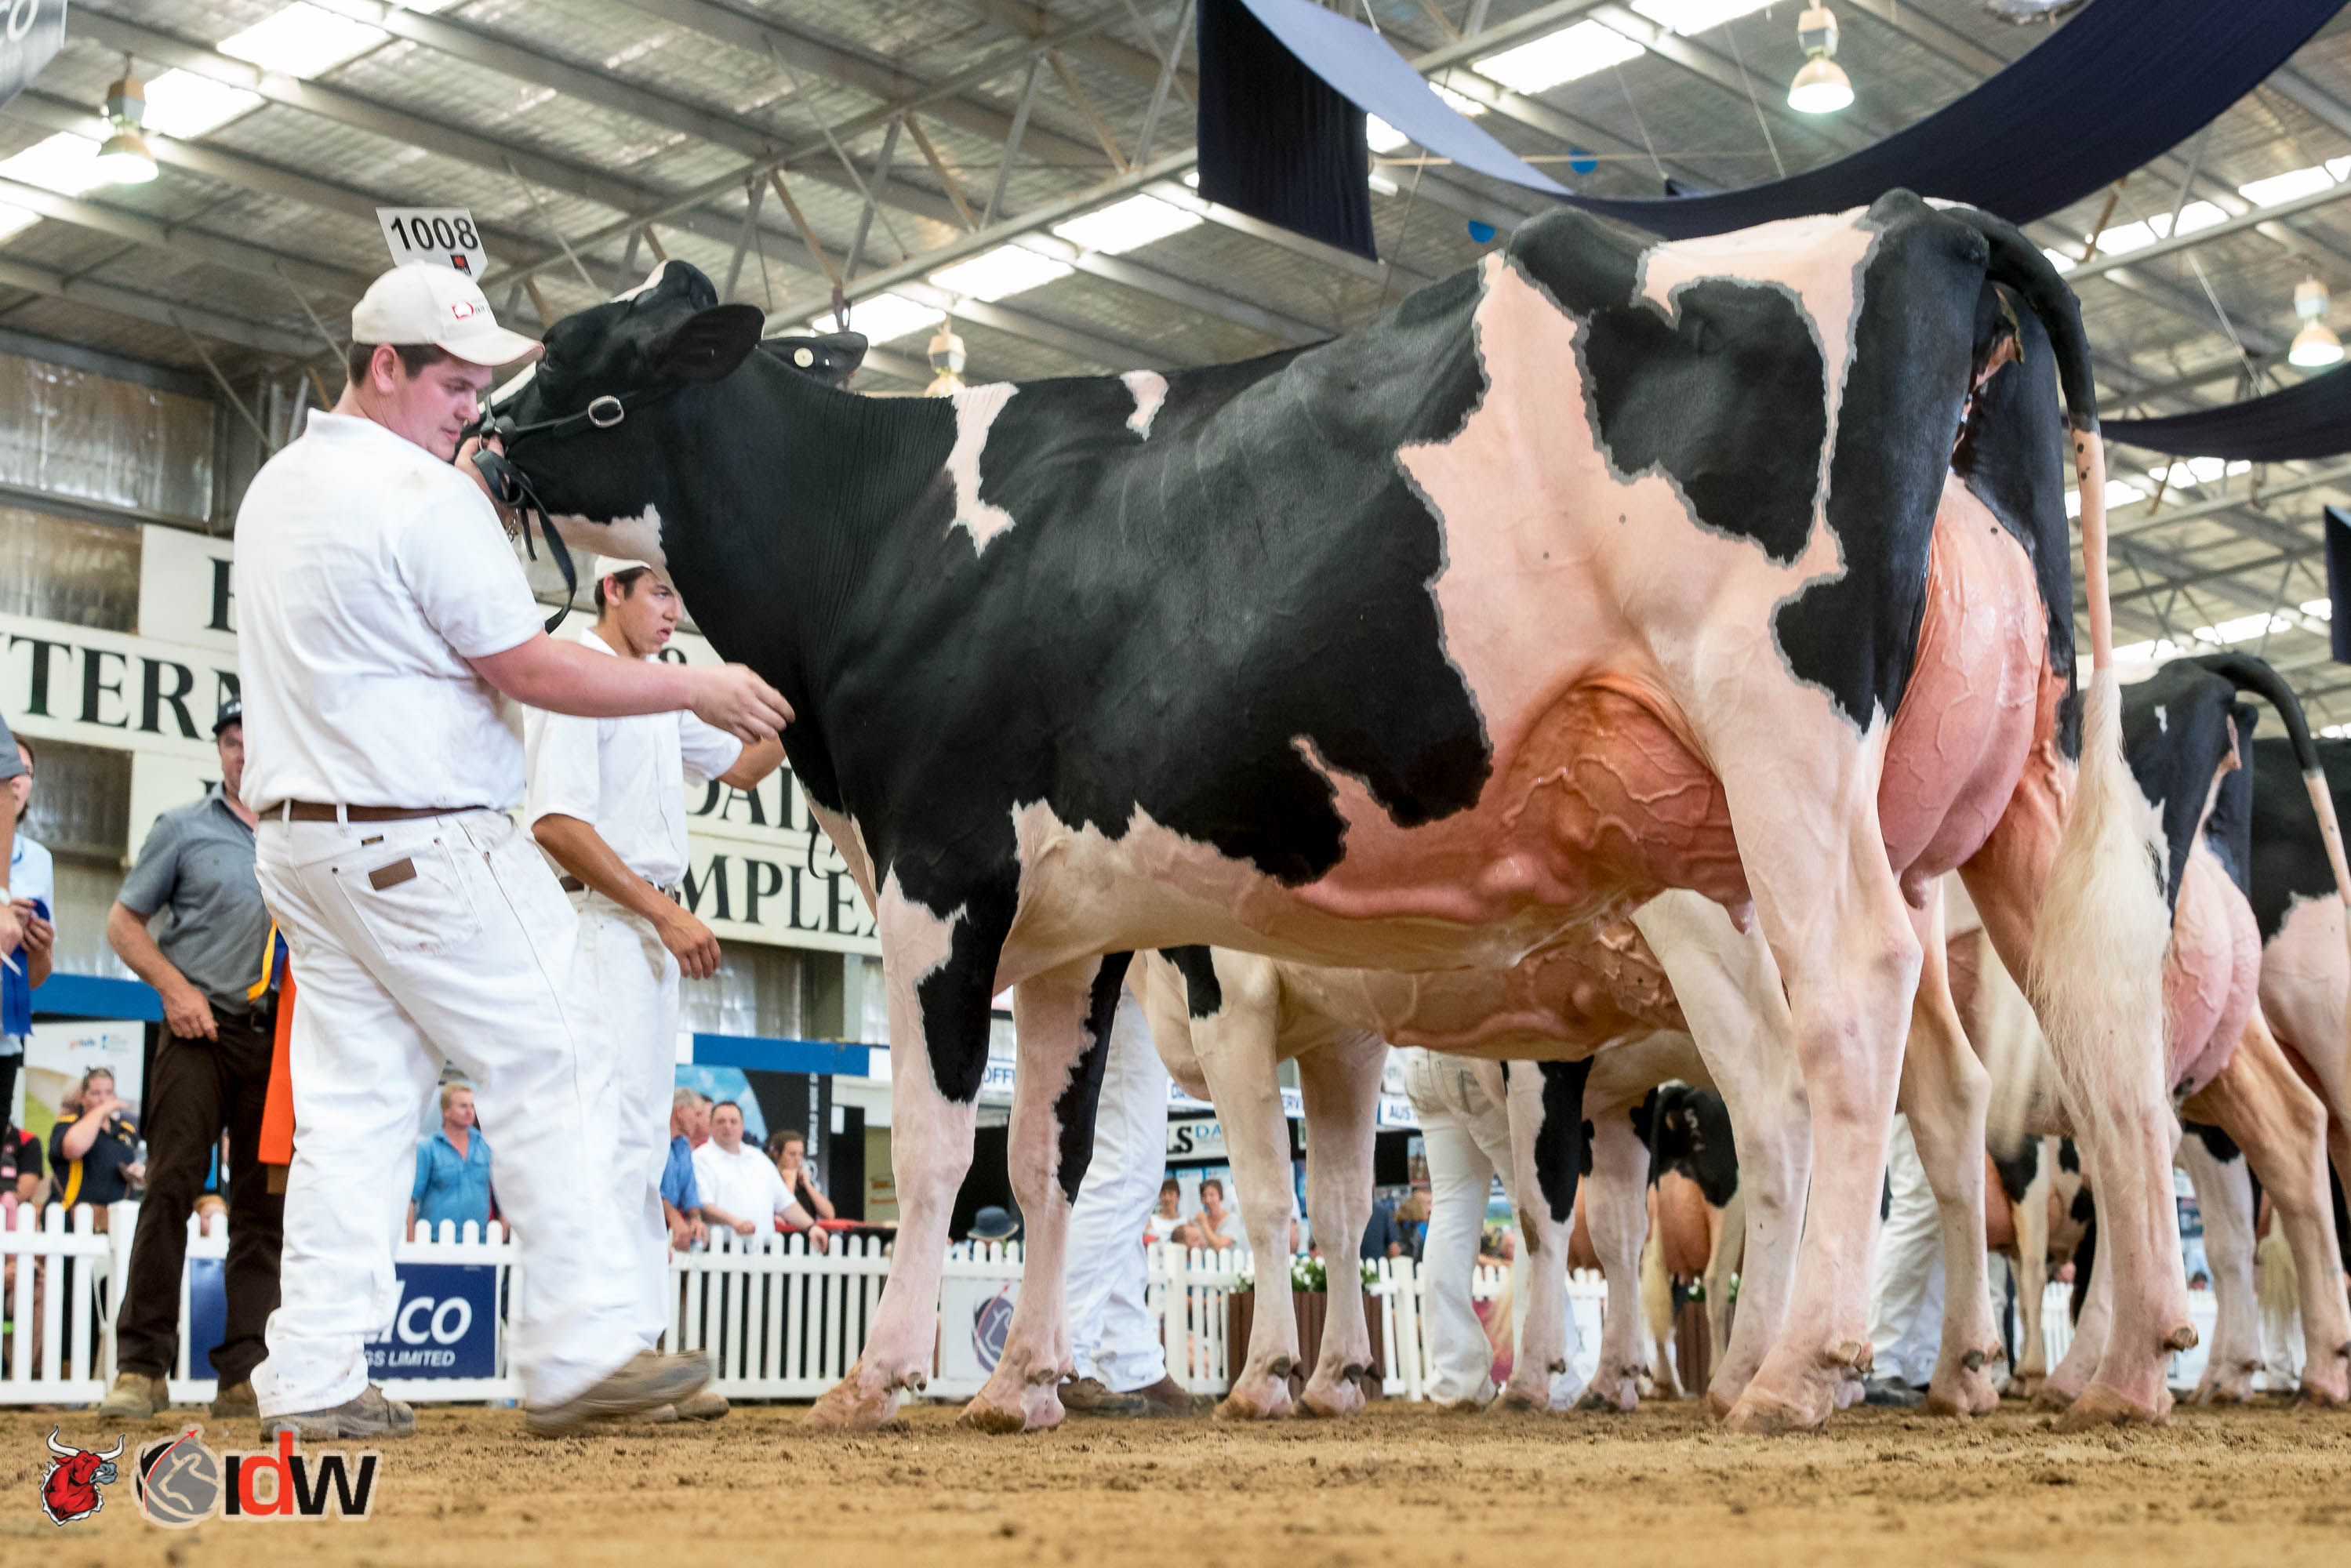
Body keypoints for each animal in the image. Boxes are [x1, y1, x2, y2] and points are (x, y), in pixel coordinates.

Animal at [487, 189, 2180, 1435]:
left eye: (579, 359)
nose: (483, 432)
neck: (889, 533)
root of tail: (1918, 218)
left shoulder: (947, 875)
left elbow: (953, 1131)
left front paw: (888, 1376)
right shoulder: (1068, 934)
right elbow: (1045, 1163)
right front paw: (1024, 1383)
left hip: (1778, 744)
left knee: (1840, 1024)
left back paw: (1794, 1367)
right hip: (2010, 785)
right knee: (2075, 1036)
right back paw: (2092, 1364)